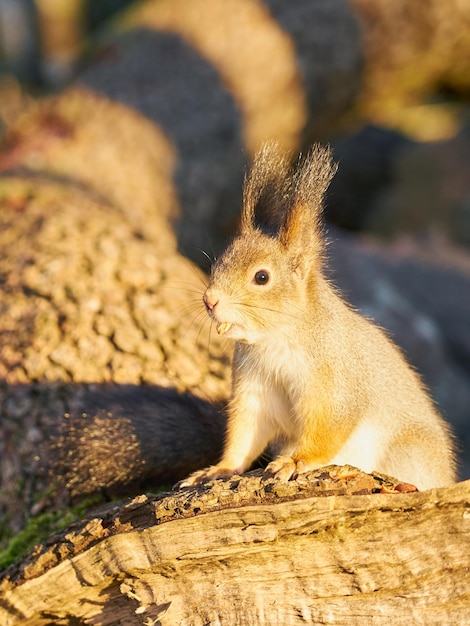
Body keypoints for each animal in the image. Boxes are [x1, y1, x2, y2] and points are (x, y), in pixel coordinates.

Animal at [178, 141, 458, 488]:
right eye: (217, 263)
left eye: (261, 277)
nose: (210, 300)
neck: (276, 341)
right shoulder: (253, 389)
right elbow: (244, 435)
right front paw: (220, 468)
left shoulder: (334, 384)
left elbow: (327, 430)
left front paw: (296, 461)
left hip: (408, 453)